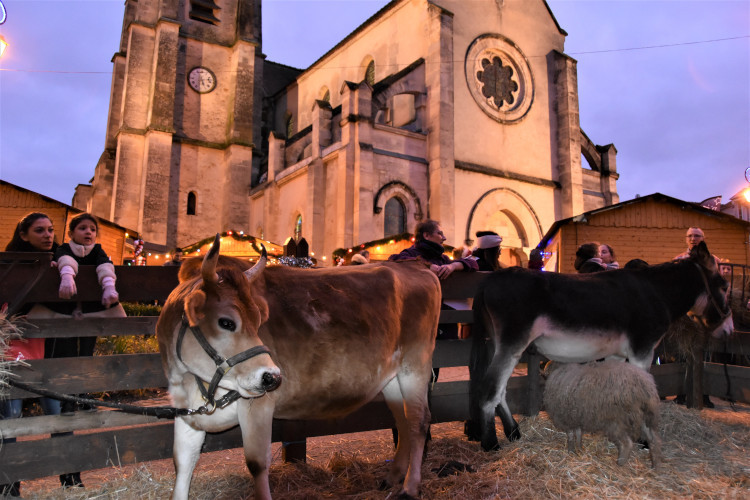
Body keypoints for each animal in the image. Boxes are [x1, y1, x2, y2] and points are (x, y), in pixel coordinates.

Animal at [156, 236, 444, 500]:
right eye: (226, 322)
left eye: (259, 320)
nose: (272, 377)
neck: (194, 383)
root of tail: (415, 266)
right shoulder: (186, 412)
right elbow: (182, 463)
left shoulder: (259, 406)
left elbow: (257, 464)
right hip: (392, 378)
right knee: (403, 420)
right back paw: (393, 477)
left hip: (415, 366)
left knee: (418, 421)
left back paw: (410, 487)